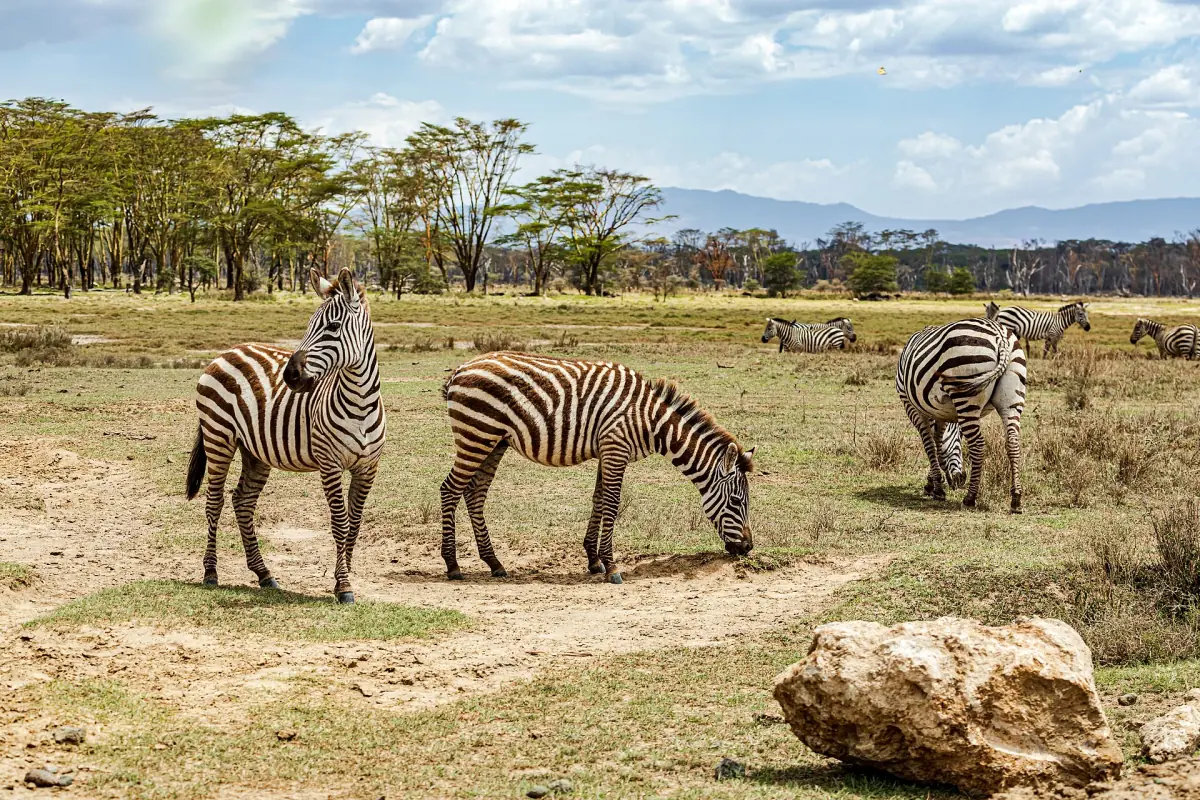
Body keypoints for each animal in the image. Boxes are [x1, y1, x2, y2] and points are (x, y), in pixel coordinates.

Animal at [185, 268, 386, 604]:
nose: (290, 376)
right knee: (214, 502)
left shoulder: (367, 467)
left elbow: (355, 523)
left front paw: (341, 578)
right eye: (308, 325)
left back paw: (264, 574)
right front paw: (344, 585)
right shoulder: (330, 464)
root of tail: (227, 352)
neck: (359, 402)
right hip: (218, 436)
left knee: (242, 501)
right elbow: (340, 522)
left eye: (333, 327)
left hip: (254, 450)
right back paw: (210, 573)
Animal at [439, 351, 756, 584]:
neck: (651, 421)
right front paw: (612, 566)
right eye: (736, 501)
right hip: (477, 434)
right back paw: (453, 565)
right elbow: (613, 504)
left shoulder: (607, 450)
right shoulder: (616, 448)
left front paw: (594, 559)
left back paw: (494, 562)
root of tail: (460, 369)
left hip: (494, 441)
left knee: (475, 493)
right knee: (450, 489)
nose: (748, 548)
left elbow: (599, 500)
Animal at [896, 318, 1027, 512]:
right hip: (1011, 399)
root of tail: (1000, 336)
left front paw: (937, 487)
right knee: (1013, 443)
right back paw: (1016, 498)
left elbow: (929, 445)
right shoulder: (941, 413)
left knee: (978, 445)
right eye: (959, 439)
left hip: (965, 394)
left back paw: (970, 497)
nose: (961, 479)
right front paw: (934, 483)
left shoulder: (911, 405)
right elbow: (938, 443)